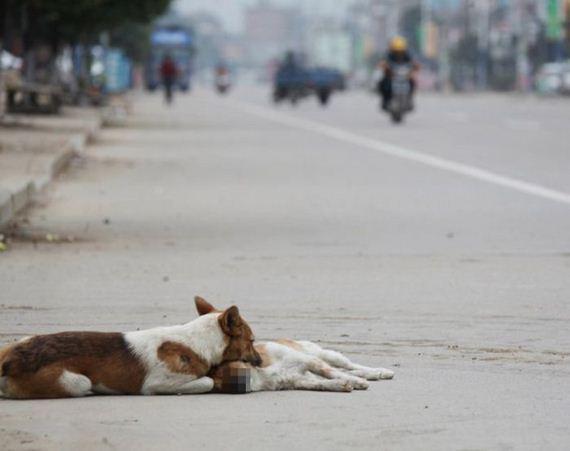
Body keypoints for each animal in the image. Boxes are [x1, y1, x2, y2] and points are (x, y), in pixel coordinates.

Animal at [0, 300, 260, 400]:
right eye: (252, 340)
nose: (258, 361)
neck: (197, 340)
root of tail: (11, 359)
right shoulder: (156, 384)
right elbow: (206, 380)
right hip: (77, 382)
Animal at [193, 300, 392, 396]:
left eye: (225, 369)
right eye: (216, 384)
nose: (237, 388)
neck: (260, 374)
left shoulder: (309, 361)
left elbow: (334, 373)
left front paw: (356, 381)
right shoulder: (299, 380)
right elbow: (324, 382)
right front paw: (342, 385)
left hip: (324, 354)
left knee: (349, 366)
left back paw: (378, 372)